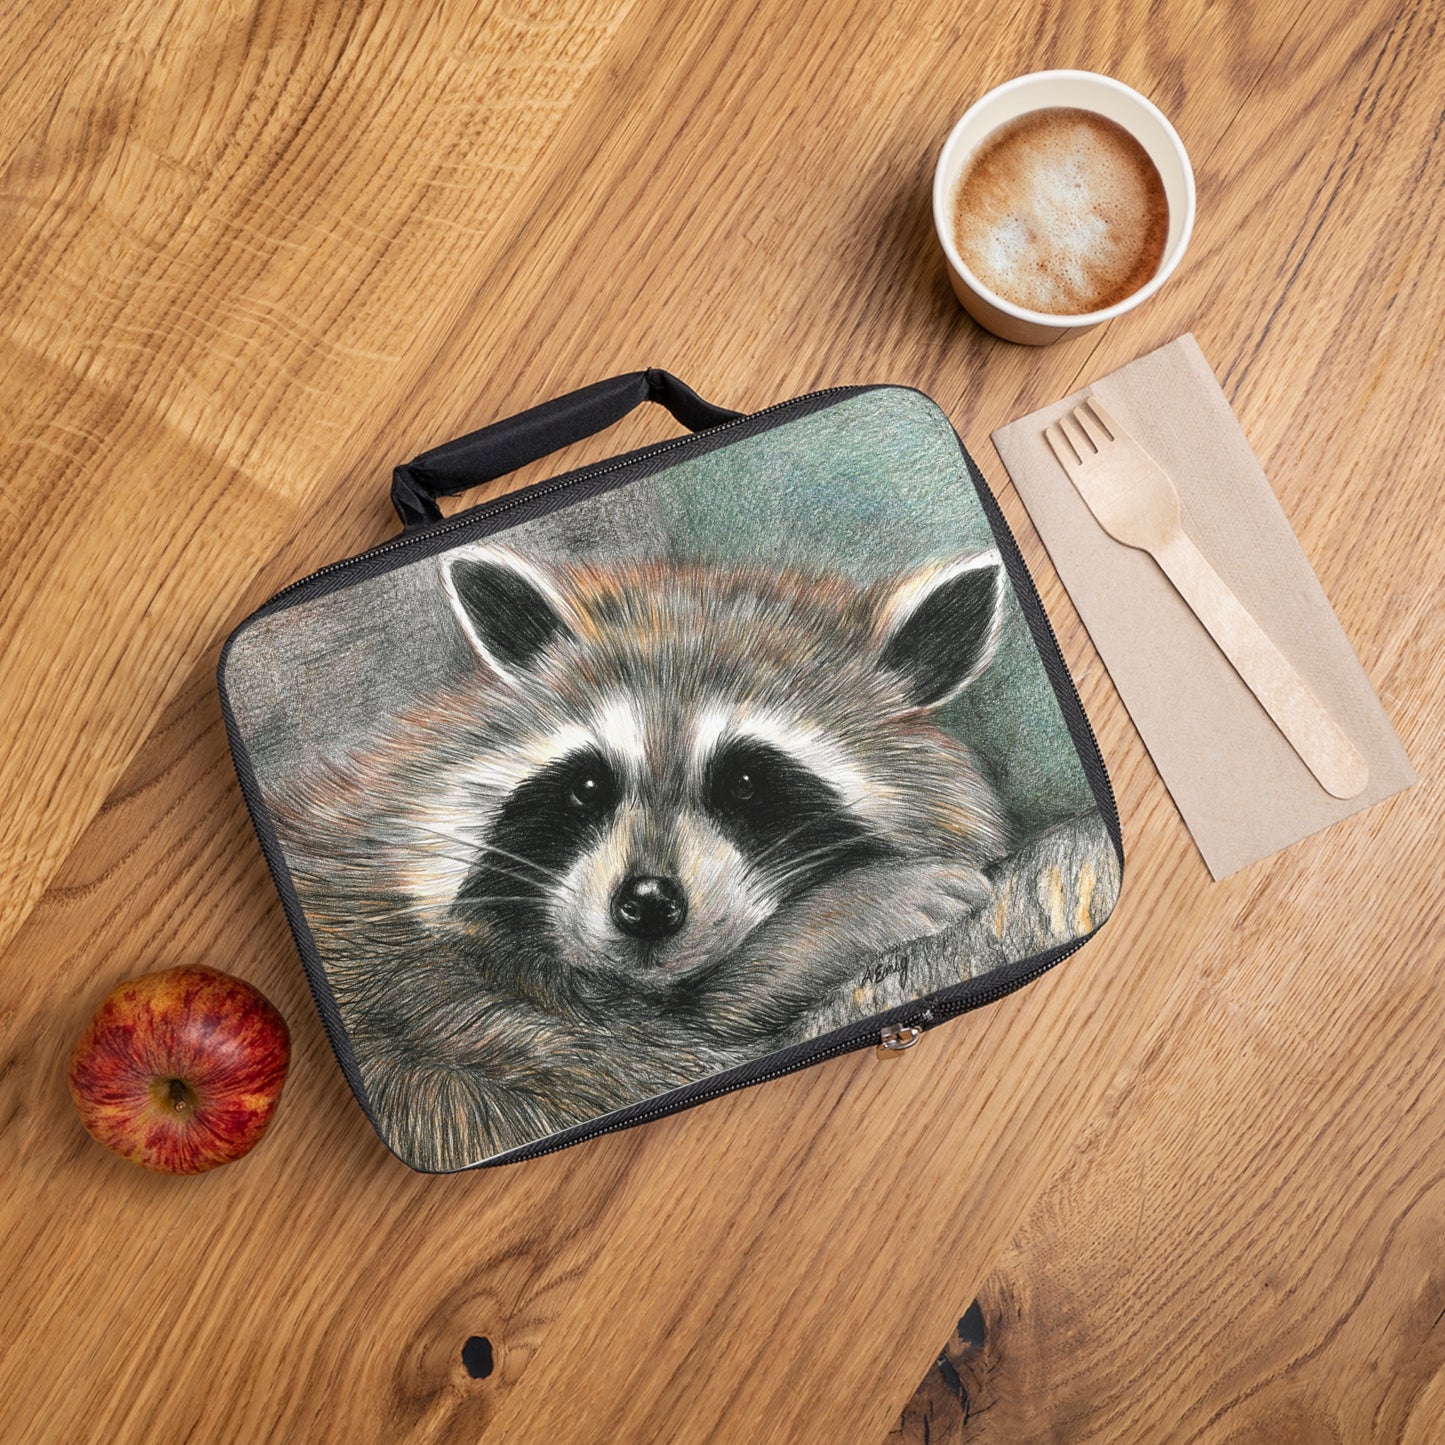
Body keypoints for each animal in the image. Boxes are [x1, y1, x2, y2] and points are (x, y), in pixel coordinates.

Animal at [268, 543, 1017, 1168]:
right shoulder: (429, 993)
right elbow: (653, 1052)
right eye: (589, 786)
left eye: (747, 783)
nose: (648, 904)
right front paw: (839, 920)